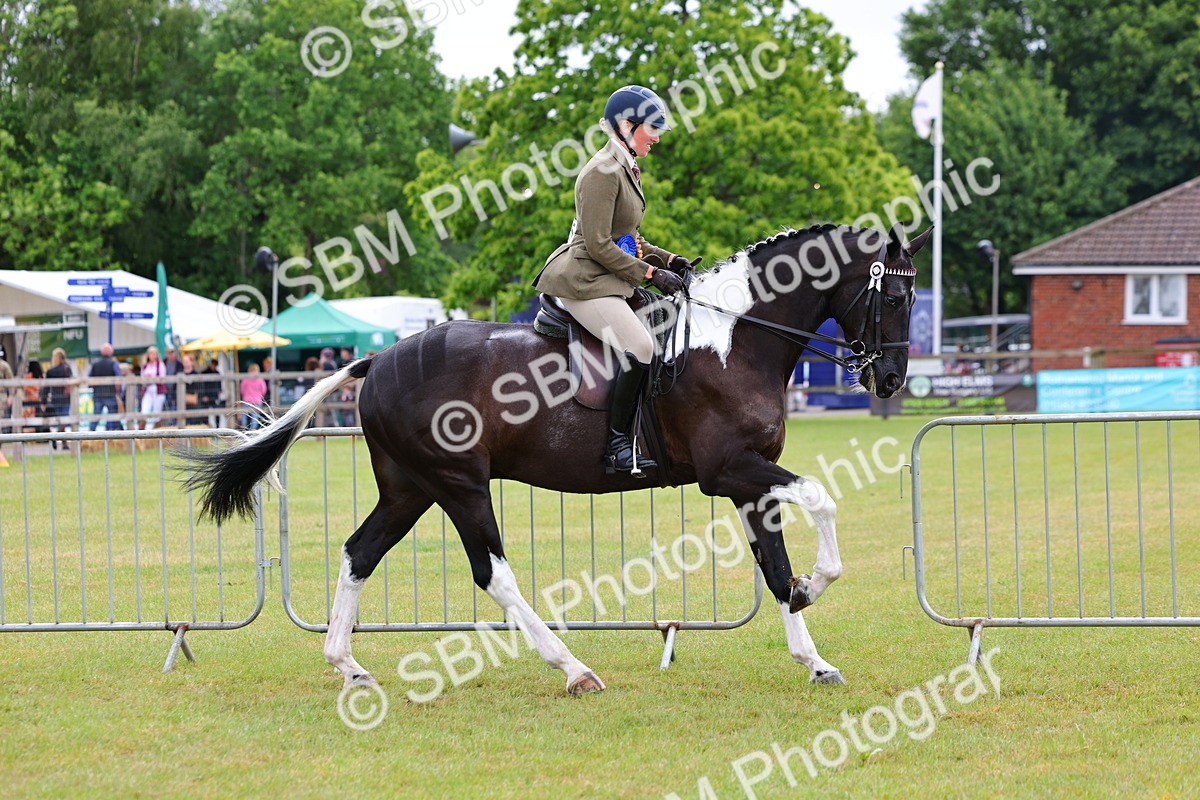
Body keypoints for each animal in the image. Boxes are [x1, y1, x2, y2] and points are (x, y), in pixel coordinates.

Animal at [186, 222, 930, 695]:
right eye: (895, 296)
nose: (891, 380)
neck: (733, 339)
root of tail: (379, 359)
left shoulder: (751, 480)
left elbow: (773, 566)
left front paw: (813, 656)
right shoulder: (729, 472)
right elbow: (822, 499)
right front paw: (817, 582)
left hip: (410, 487)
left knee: (359, 551)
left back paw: (347, 663)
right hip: (458, 483)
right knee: (493, 573)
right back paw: (573, 669)